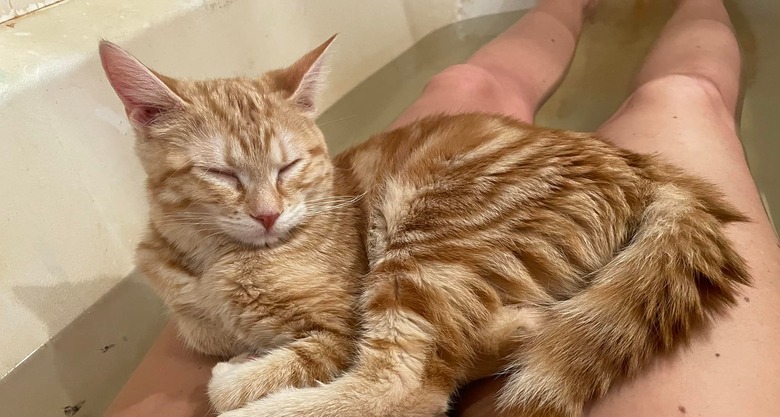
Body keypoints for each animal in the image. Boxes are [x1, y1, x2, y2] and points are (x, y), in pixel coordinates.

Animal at [99, 36, 748, 416]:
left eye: (289, 164)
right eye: (221, 172)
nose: (267, 212)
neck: (217, 260)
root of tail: (640, 165)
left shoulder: (339, 325)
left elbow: (280, 363)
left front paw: (241, 379)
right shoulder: (195, 315)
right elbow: (202, 332)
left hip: (426, 245)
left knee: (408, 386)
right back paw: (519, 325)